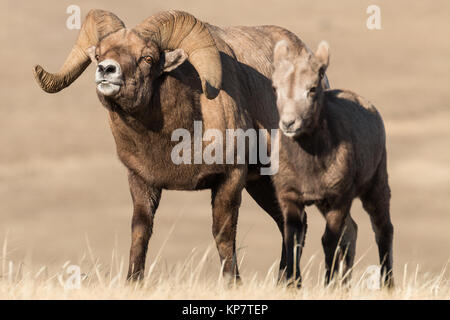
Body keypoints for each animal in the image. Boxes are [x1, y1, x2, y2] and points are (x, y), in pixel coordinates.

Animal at [33, 8, 312, 282]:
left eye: (147, 57)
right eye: (99, 54)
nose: (106, 70)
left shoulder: (230, 178)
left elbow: (223, 235)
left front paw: (233, 283)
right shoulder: (141, 180)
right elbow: (140, 232)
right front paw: (134, 282)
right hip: (262, 185)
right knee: (288, 223)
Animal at [270, 40, 394, 288]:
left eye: (312, 88)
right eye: (275, 88)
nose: (289, 123)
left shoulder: (338, 200)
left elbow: (329, 241)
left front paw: (327, 285)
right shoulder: (291, 199)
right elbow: (292, 241)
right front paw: (292, 286)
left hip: (375, 186)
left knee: (383, 229)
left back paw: (387, 286)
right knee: (352, 232)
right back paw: (345, 287)